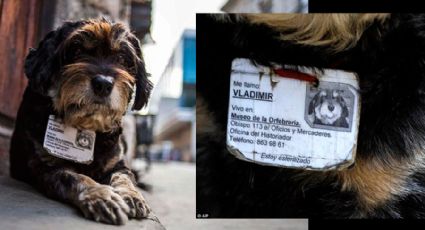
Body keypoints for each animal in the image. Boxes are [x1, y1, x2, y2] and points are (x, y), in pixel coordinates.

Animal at [9, 19, 153, 225]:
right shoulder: (45, 166)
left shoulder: (118, 164)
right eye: (77, 50)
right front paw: (102, 196)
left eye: (122, 59)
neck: (88, 124)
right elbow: (76, 177)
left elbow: (124, 177)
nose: (103, 84)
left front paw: (132, 195)